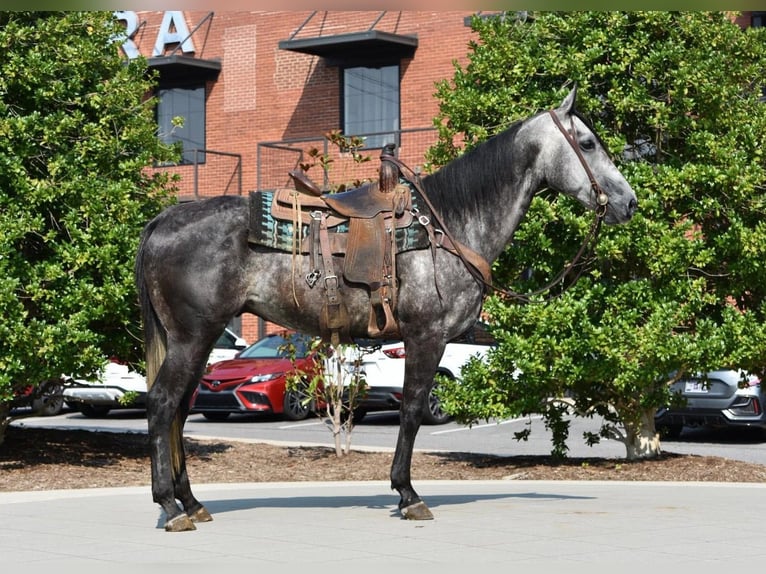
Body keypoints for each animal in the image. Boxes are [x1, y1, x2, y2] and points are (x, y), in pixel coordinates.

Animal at [135, 86, 638, 531]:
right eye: (588, 143)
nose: (628, 202)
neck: (448, 227)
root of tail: (164, 219)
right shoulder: (427, 337)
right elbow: (412, 410)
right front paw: (408, 494)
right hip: (192, 337)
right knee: (162, 405)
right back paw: (172, 507)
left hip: (198, 340)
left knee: (180, 410)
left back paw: (191, 502)